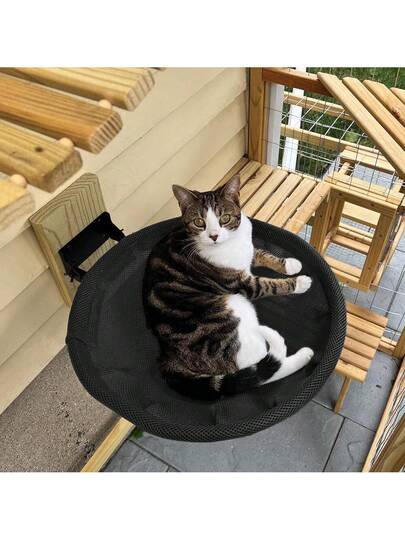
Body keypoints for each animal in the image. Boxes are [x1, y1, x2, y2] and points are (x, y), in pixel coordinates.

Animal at [143, 175, 314, 399]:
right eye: (199, 222)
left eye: (224, 218)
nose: (214, 235)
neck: (230, 244)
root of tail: (168, 356)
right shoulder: (242, 284)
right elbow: (268, 284)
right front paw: (300, 282)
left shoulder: (248, 252)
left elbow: (261, 253)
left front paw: (289, 264)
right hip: (236, 307)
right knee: (261, 368)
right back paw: (301, 355)